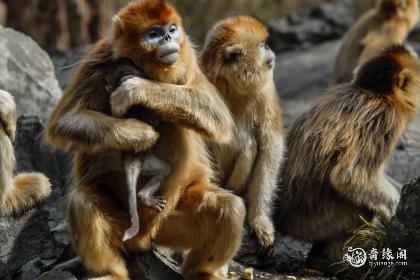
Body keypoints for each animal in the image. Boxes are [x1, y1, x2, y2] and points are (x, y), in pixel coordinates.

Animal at [105, 58, 171, 242]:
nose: (107, 85)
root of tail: (130, 159)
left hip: (145, 164)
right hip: (145, 160)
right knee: (166, 168)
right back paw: (146, 197)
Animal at [201, 15, 286, 247]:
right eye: (261, 45)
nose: (269, 47)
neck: (231, 87)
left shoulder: (266, 90)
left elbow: (270, 147)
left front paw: (259, 220)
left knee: (250, 144)